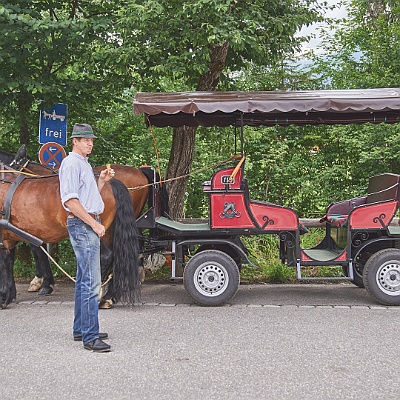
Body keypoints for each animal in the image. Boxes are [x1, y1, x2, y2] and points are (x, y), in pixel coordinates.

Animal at [0, 150, 150, 310]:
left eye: (16, 166)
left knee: (107, 256)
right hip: (114, 230)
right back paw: (110, 296)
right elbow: (10, 260)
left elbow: (21, 257)